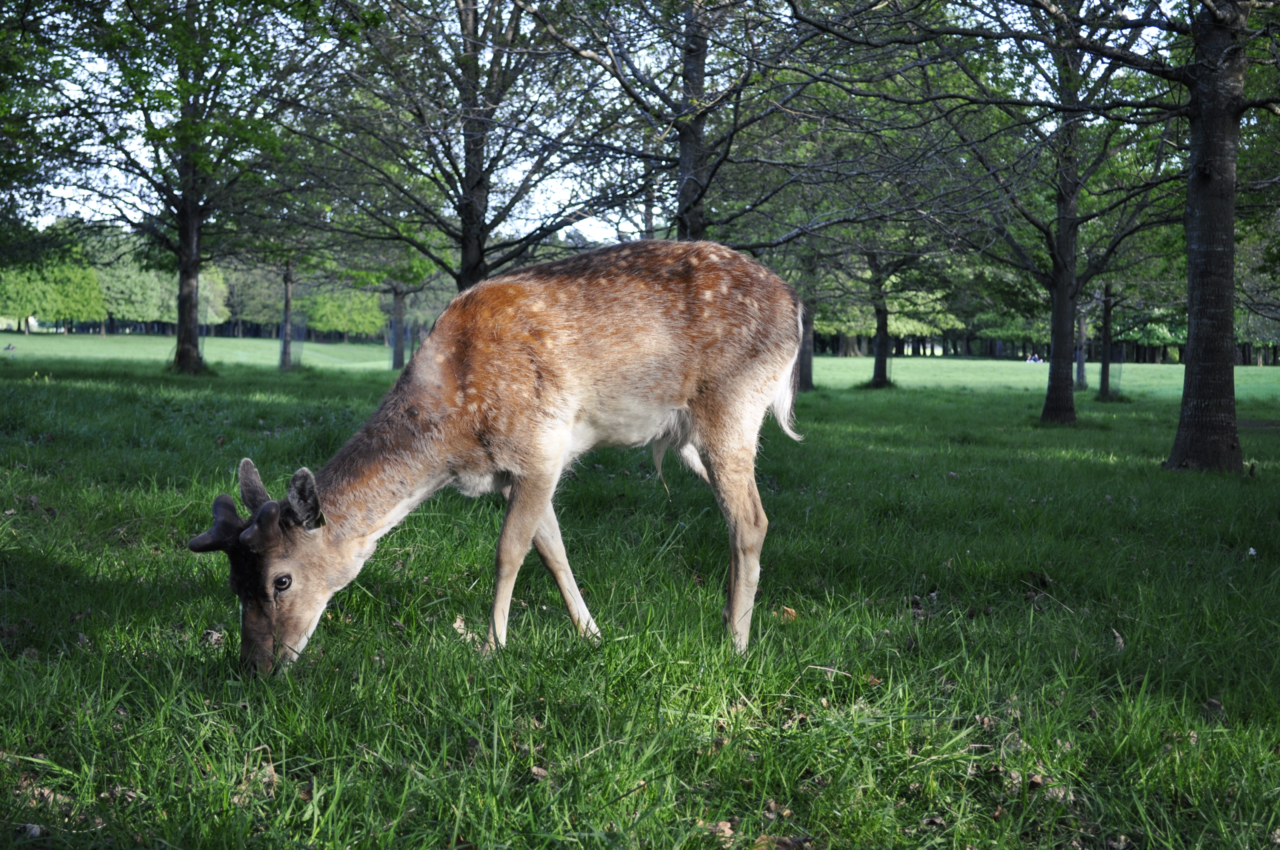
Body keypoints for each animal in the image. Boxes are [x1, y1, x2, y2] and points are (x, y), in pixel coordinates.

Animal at [186, 239, 798, 670]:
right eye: (234, 583)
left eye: (281, 580)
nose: (255, 667)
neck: (453, 437)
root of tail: (795, 307)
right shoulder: (514, 473)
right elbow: (553, 551)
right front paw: (593, 635)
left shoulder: (541, 447)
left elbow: (508, 552)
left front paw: (492, 647)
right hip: (696, 436)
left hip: (733, 406)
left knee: (752, 521)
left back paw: (735, 643)